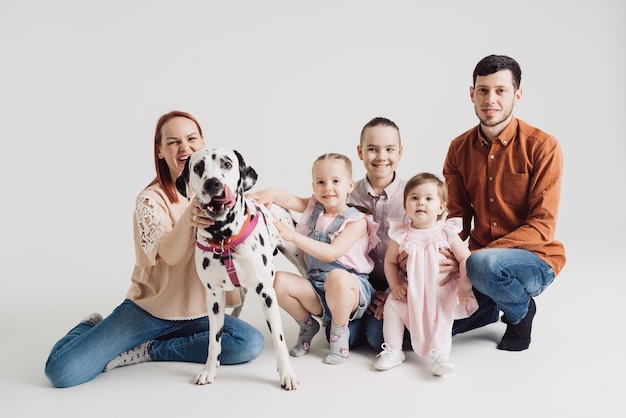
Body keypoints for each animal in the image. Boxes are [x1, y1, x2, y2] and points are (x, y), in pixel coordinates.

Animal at [176, 148, 304, 392]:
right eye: (198, 167)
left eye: (227, 163)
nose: (213, 184)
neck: (223, 238)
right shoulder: (214, 298)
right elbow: (213, 341)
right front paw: (209, 370)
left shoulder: (267, 294)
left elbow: (279, 340)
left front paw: (287, 374)